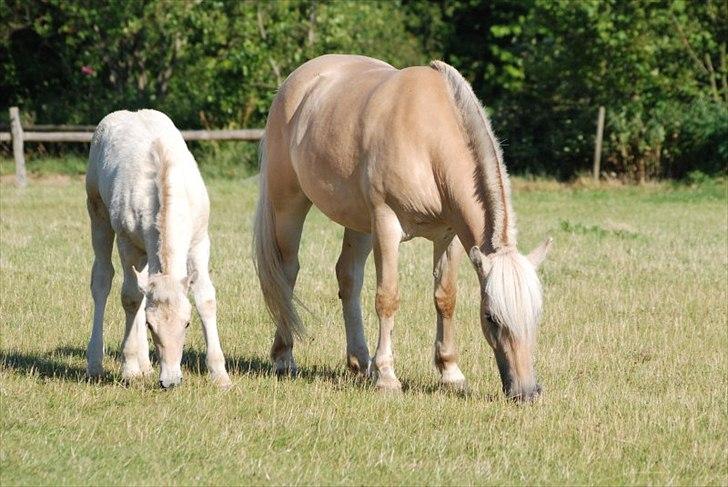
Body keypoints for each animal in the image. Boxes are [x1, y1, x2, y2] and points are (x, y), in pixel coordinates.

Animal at [86, 109, 232, 388]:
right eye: (151, 326)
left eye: (187, 324)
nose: (170, 381)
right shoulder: (127, 243)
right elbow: (130, 297)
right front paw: (130, 368)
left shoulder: (199, 240)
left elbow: (206, 297)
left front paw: (220, 375)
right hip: (97, 212)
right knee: (102, 278)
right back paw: (97, 363)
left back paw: (145, 364)